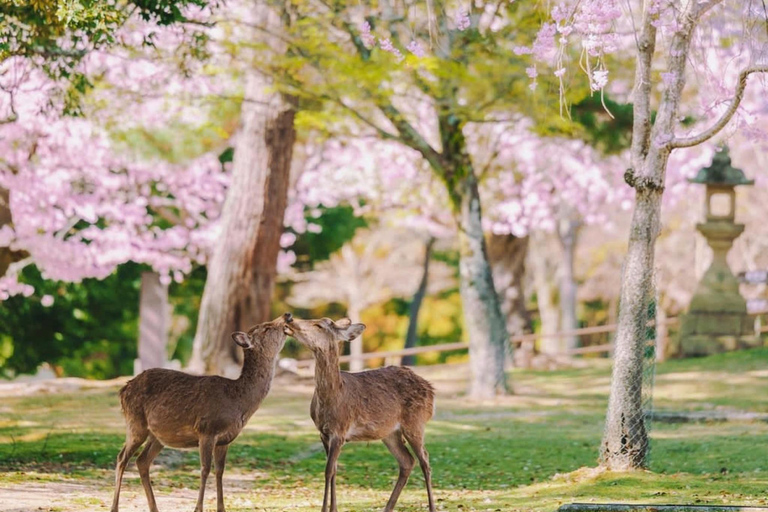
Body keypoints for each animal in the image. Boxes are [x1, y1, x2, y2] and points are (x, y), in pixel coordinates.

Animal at [110, 313, 293, 512]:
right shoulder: (207, 429)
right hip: (136, 423)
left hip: (157, 435)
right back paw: (115, 507)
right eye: (266, 328)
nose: (287, 315)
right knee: (121, 458)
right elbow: (205, 469)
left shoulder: (225, 440)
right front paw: (198, 508)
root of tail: (123, 390)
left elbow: (220, 471)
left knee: (142, 461)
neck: (238, 402)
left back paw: (154, 508)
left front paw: (222, 508)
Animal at [283, 316, 436, 512]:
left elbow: (328, 470)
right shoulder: (323, 432)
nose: (289, 318)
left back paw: (431, 507)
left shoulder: (340, 430)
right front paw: (334, 509)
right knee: (407, 461)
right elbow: (334, 470)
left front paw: (326, 509)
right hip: (390, 433)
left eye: (319, 325)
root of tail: (431, 390)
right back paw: (387, 508)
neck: (331, 399)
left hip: (416, 422)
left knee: (425, 460)